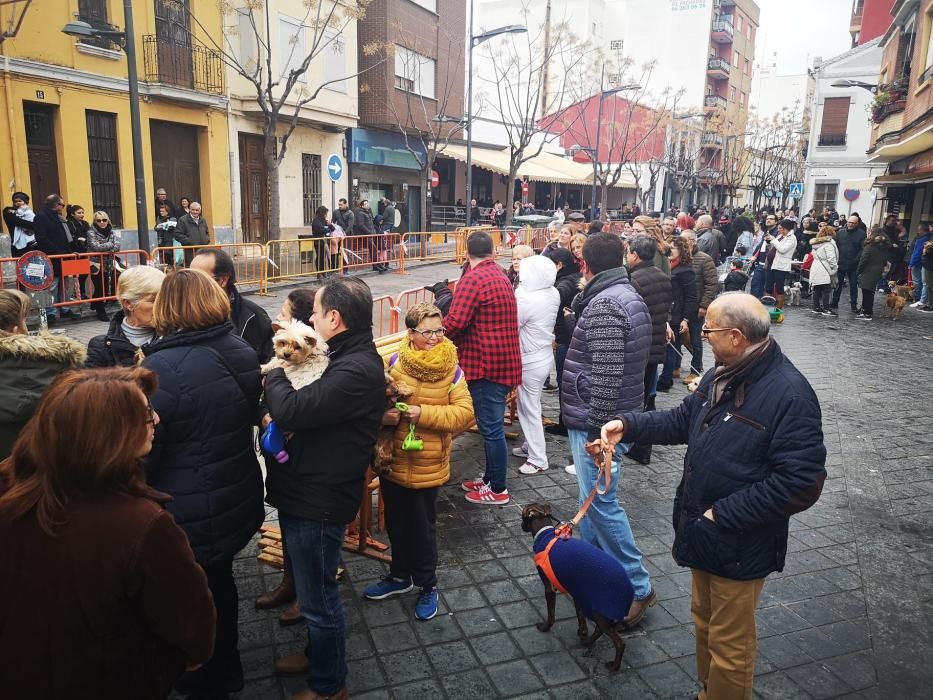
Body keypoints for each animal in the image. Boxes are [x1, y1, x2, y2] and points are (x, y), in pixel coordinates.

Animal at [520, 500, 636, 668]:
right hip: (597, 609)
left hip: (599, 610)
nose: (521, 525)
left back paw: (614, 666)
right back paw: (587, 641)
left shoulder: (550, 588)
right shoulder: (578, 593)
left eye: (522, 516)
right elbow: (581, 620)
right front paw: (582, 632)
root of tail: (629, 591)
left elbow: (551, 614)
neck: (545, 535)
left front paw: (545, 627)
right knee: (599, 630)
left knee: (619, 642)